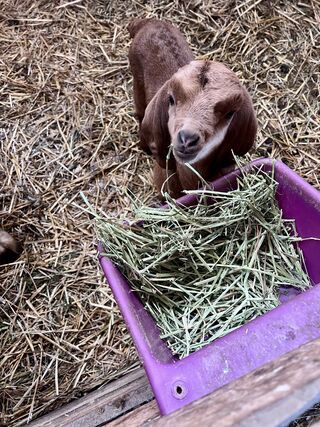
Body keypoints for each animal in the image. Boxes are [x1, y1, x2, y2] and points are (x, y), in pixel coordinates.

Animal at [129, 18, 256, 199]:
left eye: (230, 113)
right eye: (171, 99)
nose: (187, 139)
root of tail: (147, 22)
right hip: (136, 79)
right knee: (140, 111)